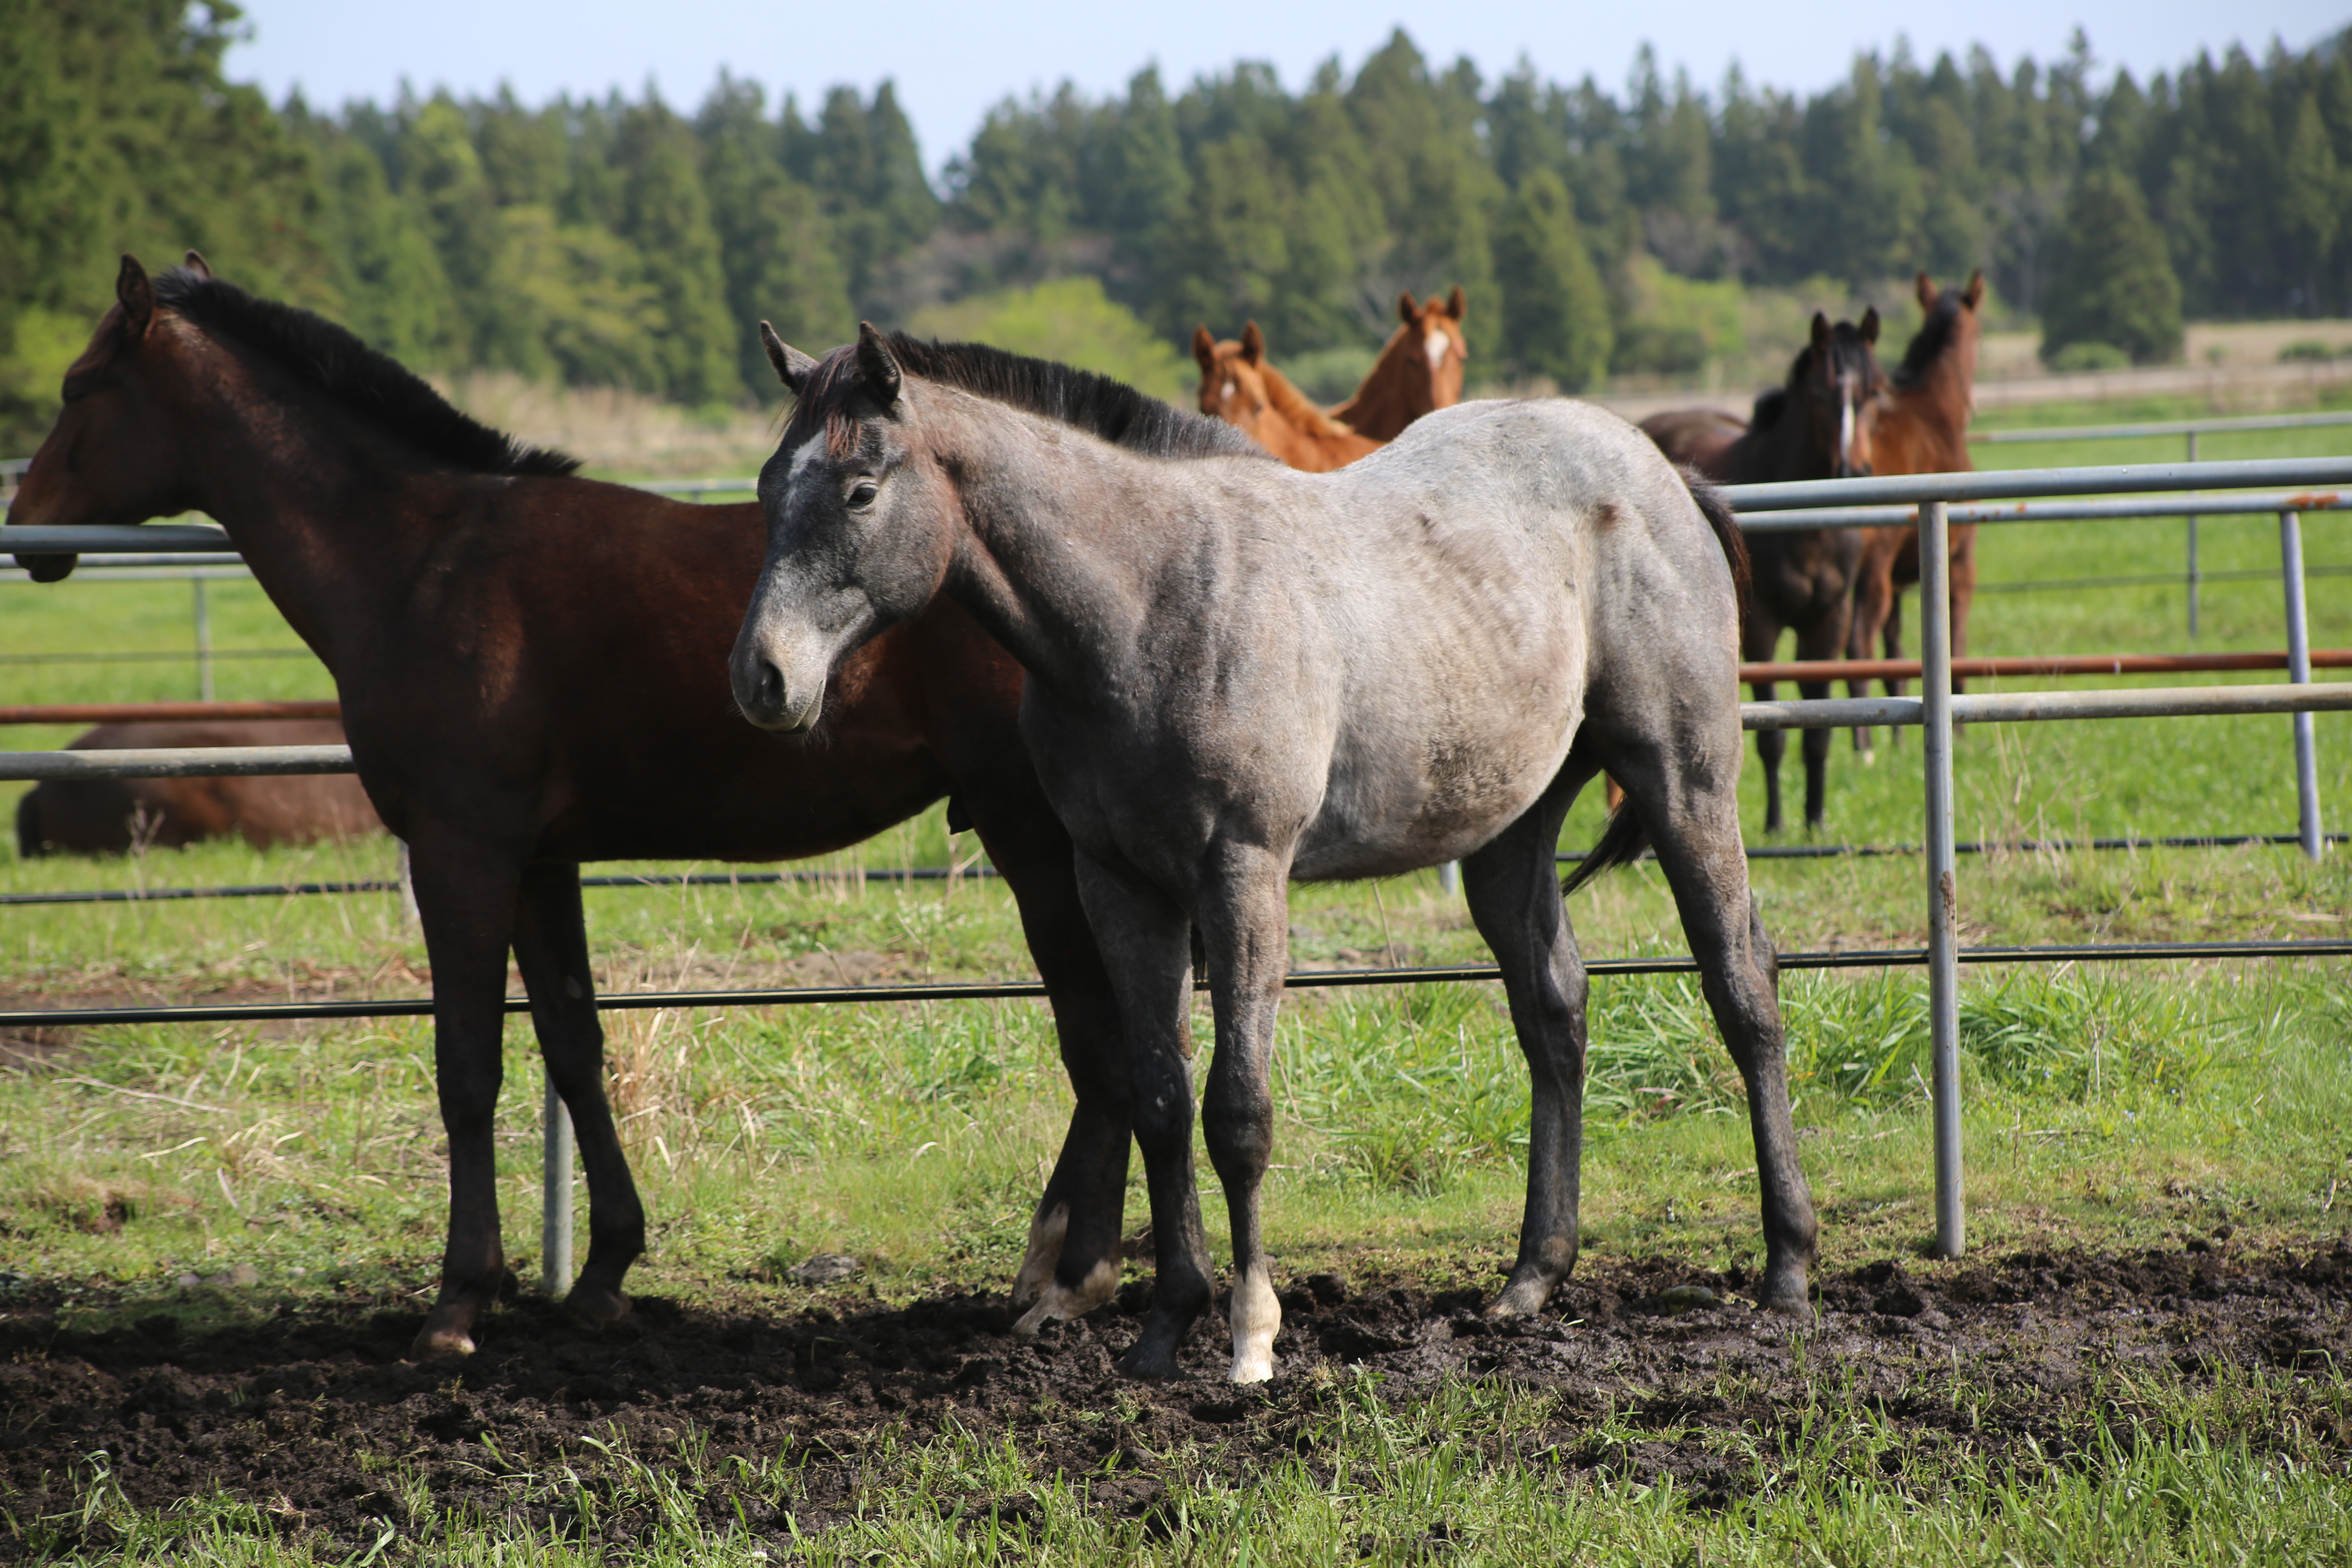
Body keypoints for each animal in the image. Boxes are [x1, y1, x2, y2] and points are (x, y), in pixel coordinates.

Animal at [1646, 310, 1882, 842]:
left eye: (1875, 393)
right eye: (1820, 395)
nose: (1853, 468)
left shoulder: (1828, 621)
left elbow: (1818, 730)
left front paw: (1815, 820)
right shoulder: (1762, 627)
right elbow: (1771, 737)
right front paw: (1776, 824)